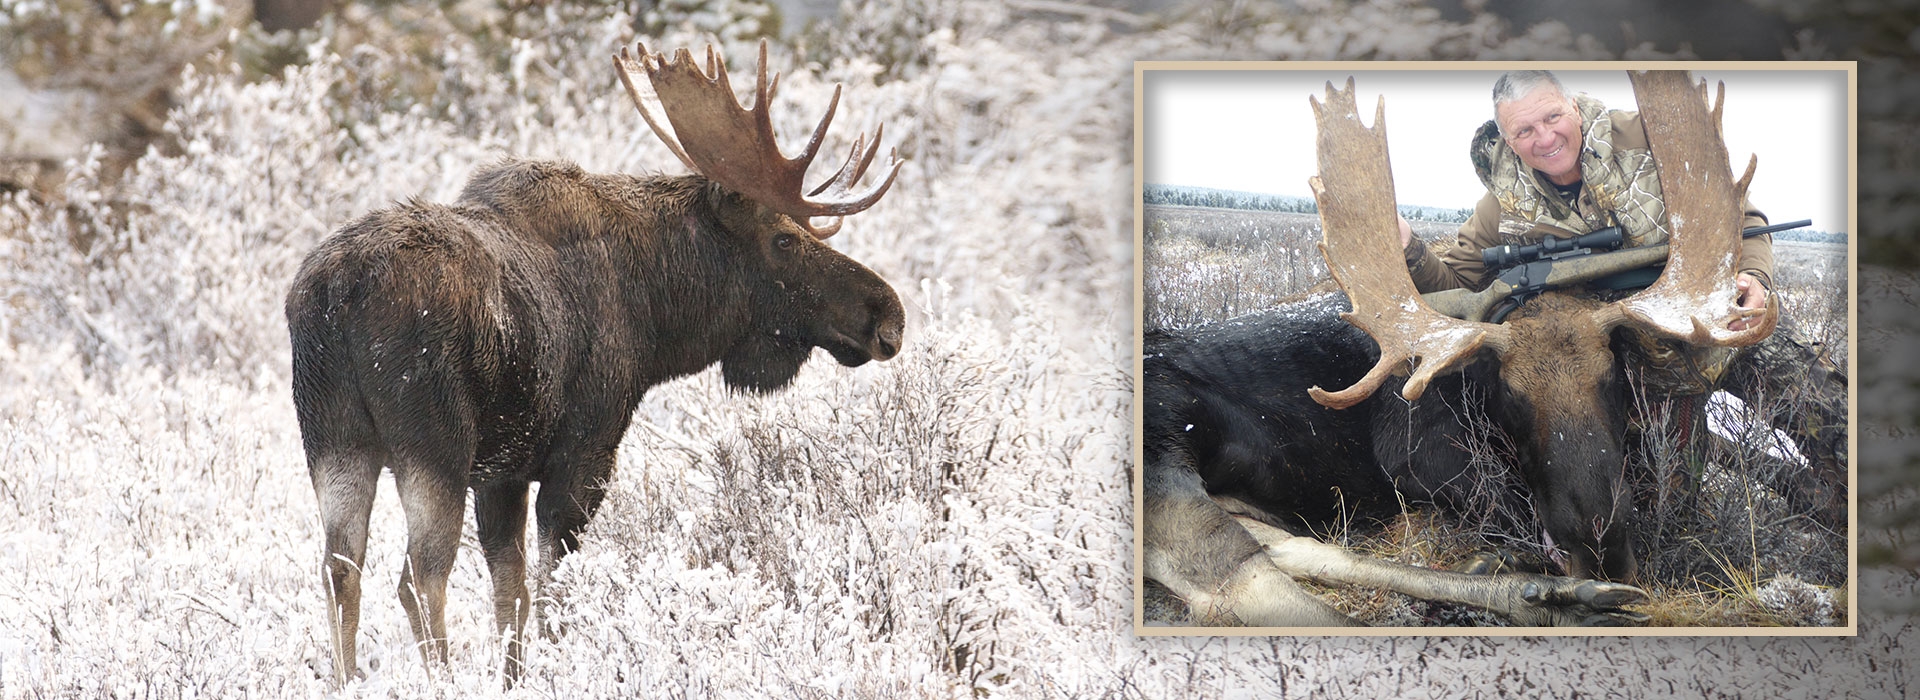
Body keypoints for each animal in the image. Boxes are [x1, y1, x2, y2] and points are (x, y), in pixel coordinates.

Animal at [286, 39, 904, 684]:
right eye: (785, 238)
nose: (888, 316)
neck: (657, 316)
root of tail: (338, 294)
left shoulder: (503, 471)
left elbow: (511, 593)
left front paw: (515, 677)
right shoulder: (583, 452)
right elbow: (553, 588)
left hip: (336, 440)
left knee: (339, 570)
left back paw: (347, 679)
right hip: (433, 445)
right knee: (418, 576)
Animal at [1141, 70, 1775, 626]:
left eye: (1612, 377)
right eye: (1509, 395)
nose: (1602, 546)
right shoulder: (1421, 461)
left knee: (1307, 552)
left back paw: (1551, 596)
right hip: (1163, 464)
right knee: (1249, 584)